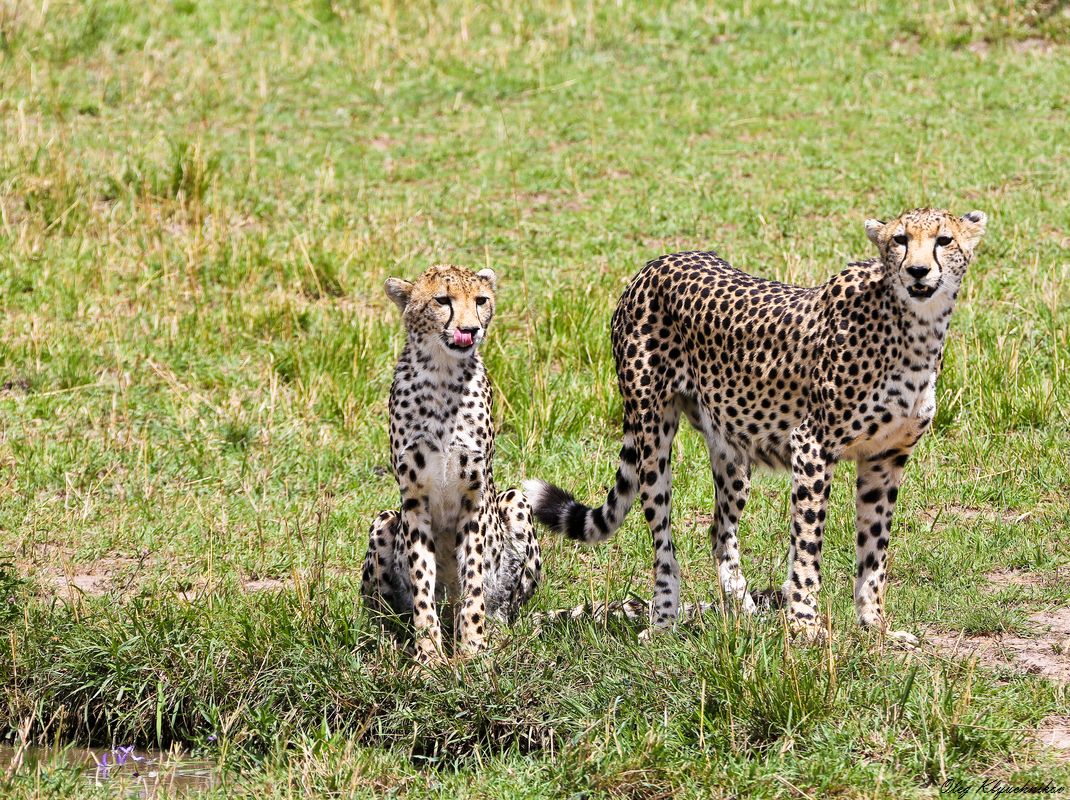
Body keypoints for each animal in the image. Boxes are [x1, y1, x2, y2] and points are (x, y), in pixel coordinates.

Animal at [361, 264, 543, 663]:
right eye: (442, 300)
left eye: (481, 300)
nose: (470, 329)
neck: (443, 376)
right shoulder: (414, 502)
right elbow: (421, 586)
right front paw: (428, 656)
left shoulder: (473, 498)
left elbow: (473, 581)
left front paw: (472, 650)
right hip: (385, 520)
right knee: (383, 613)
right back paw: (386, 642)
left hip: (516, 502)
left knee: (505, 605)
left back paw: (494, 630)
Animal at [526, 207, 984, 641]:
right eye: (900, 240)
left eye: (944, 240)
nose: (918, 271)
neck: (917, 327)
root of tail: (658, 262)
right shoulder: (812, 445)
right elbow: (807, 547)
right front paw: (804, 625)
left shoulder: (884, 459)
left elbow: (874, 554)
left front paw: (875, 627)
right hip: (651, 432)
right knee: (662, 537)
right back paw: (664, 620)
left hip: (731, 448)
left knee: (719, 531)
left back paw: (745, 613)